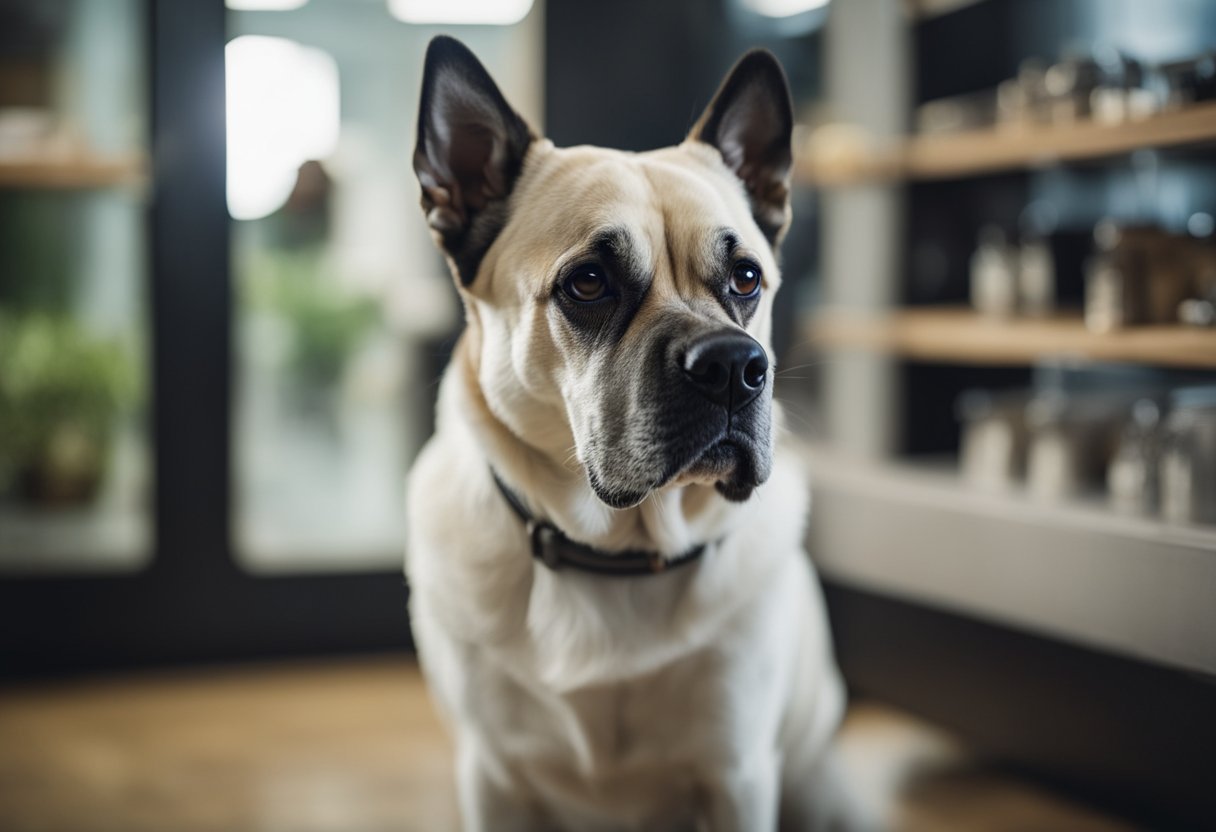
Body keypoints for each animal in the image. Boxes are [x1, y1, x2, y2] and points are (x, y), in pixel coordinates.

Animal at [406, 34, 856, 832]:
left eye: (747, 278)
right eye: (589, 282)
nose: (734, 367)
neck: (615, 553)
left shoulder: (737, 777)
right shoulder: (493, 777)